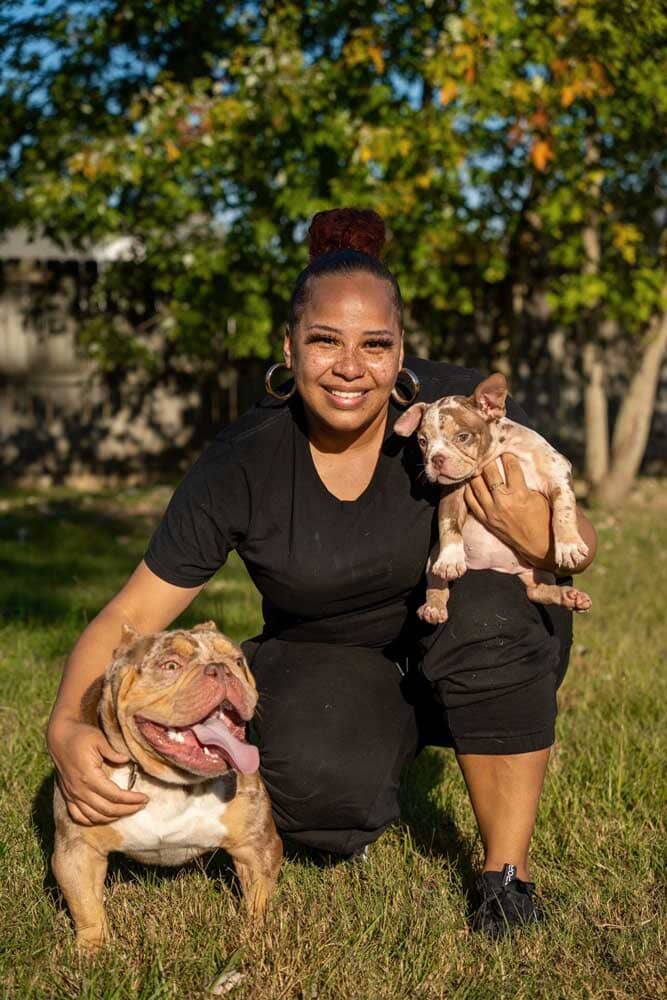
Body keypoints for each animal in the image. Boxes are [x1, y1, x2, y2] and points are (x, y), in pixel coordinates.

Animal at [52, 616, 280, 952]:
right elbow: (86, 906)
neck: (167, 782)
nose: (221, 669)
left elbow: (258, 898)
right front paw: (92, 950)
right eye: (170, 665)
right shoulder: (77, 849)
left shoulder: (256, 844)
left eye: (238, 661)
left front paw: (254, 938)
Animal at [394, 374, 592, 624]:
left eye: (462, 437)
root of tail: (501, 567)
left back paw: (570, 596)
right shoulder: (452, 495)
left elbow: (563, 511)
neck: (495, 454)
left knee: (537, 590)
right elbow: (449, 525)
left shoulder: (557, 473)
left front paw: (569, 545)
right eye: (422, 441)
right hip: (432, 558)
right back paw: (434, 607)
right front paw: (450, 559)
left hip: (539, 567)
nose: (436, 459)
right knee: (438, 585)